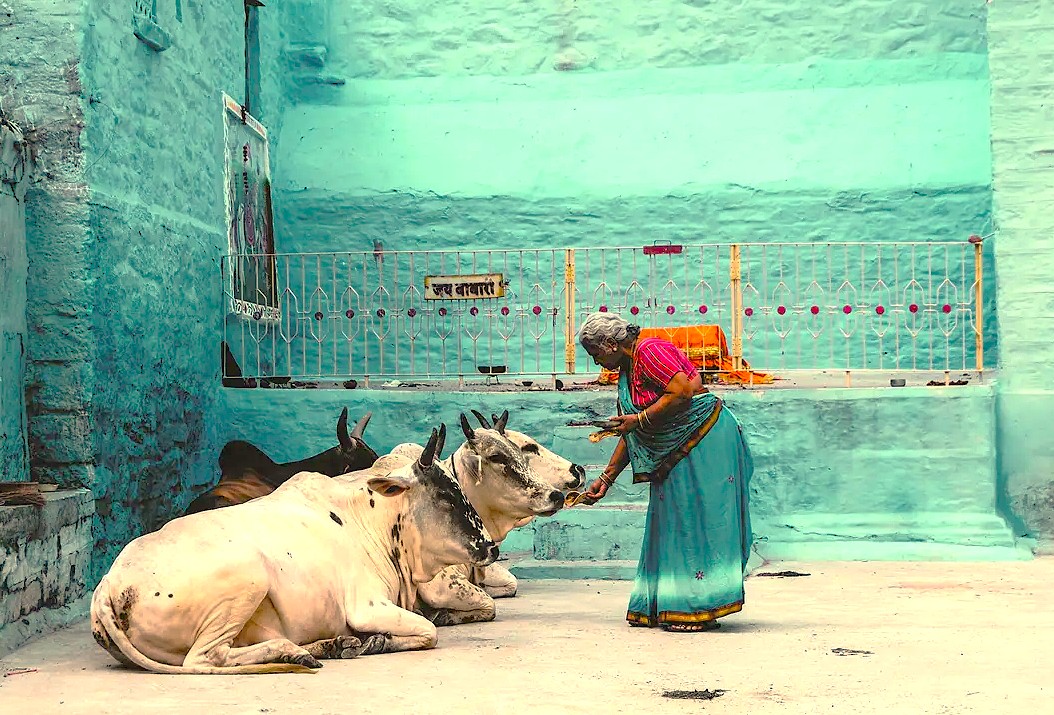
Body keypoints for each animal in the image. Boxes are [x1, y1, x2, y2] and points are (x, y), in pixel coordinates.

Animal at [90, 424, 497, 674]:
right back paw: (292, 650)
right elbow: (429, 631)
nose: (490, 547)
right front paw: (378, 642)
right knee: (205, 658)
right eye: (445, 495)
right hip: (249, 576)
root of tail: (108, 586)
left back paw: (328, 645)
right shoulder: (367, 606)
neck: (371, 521)